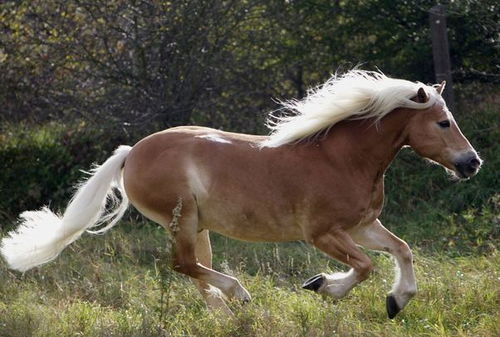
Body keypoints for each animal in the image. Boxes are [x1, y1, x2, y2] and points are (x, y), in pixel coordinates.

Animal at [1, 69, 482, 318]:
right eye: (443, 122)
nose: (471, 163)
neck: (342, 159)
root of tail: (131, 152)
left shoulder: (362, 226)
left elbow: (402, 250)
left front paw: (396, 301)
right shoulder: (323, 234)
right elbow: (364, 268)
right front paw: (323, 286)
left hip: (198, 227)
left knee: (194, 269)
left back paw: (227, 313)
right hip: (183, 219)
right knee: (182, 265)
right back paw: (240, 296)